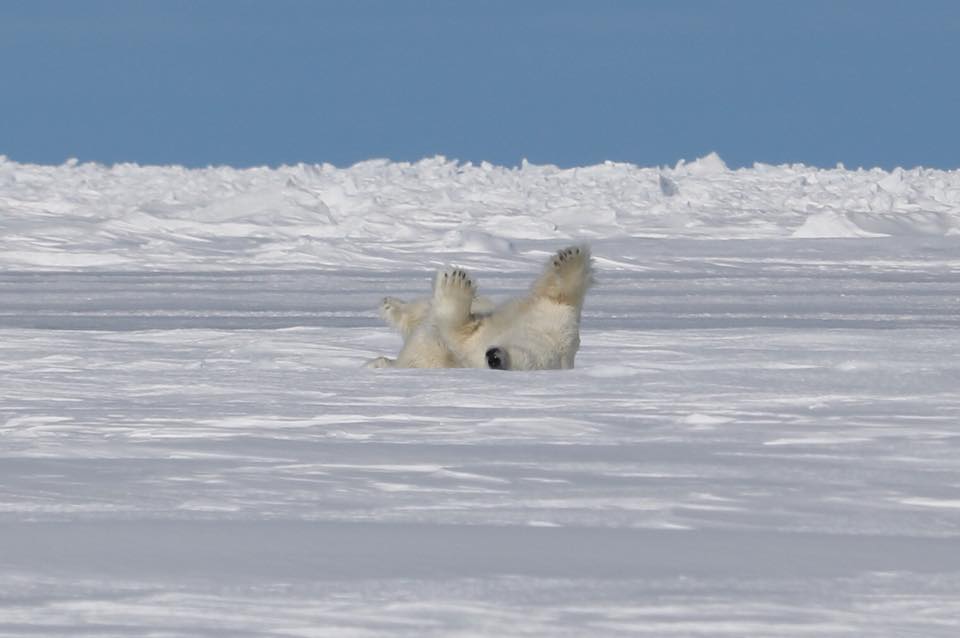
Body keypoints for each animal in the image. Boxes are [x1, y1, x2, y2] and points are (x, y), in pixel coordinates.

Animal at [368, 245, 593, 370]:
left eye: (522, 366)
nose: (494, 358)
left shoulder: (467, 350)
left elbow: (456, 331)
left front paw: (455, 284)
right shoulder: (552, 319)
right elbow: (561, 296)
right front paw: (570, 258)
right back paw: (389, 305)